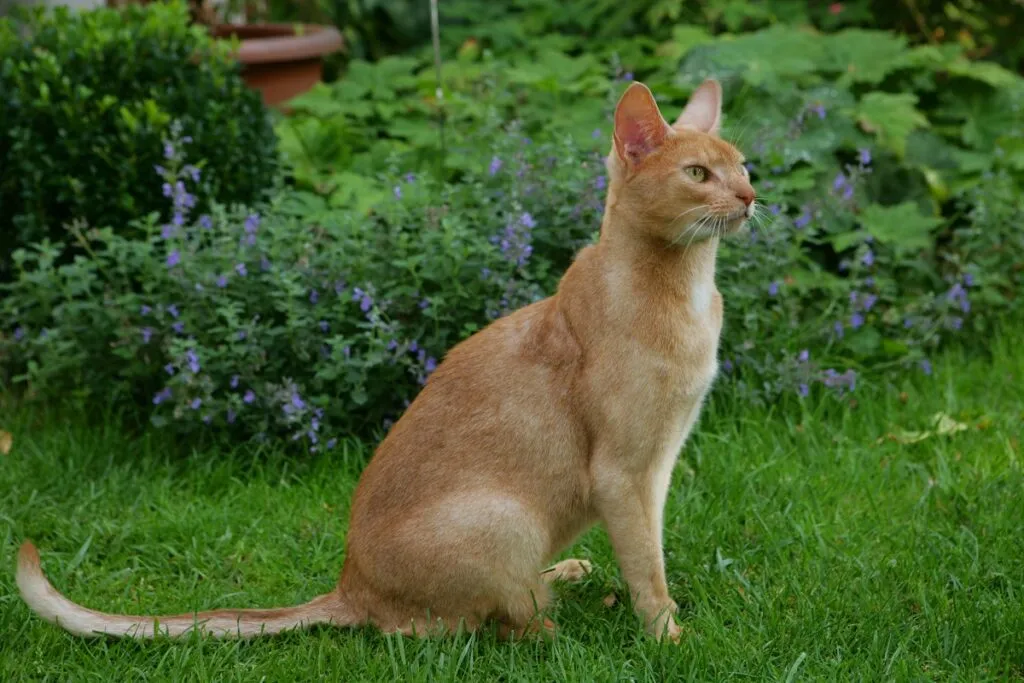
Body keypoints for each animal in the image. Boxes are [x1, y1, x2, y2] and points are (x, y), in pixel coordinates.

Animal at [16, 78, 753, 643]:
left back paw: (563, 577)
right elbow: (647, 570)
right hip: (503, 517)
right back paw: (548, 623)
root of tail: (350, 586)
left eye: (743, 165)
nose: (750, 197)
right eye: (697, 174)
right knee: (455, 631)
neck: (687, 293)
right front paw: (669, 639)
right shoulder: (623, 474)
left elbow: (651, 554)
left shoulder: (659, 467)